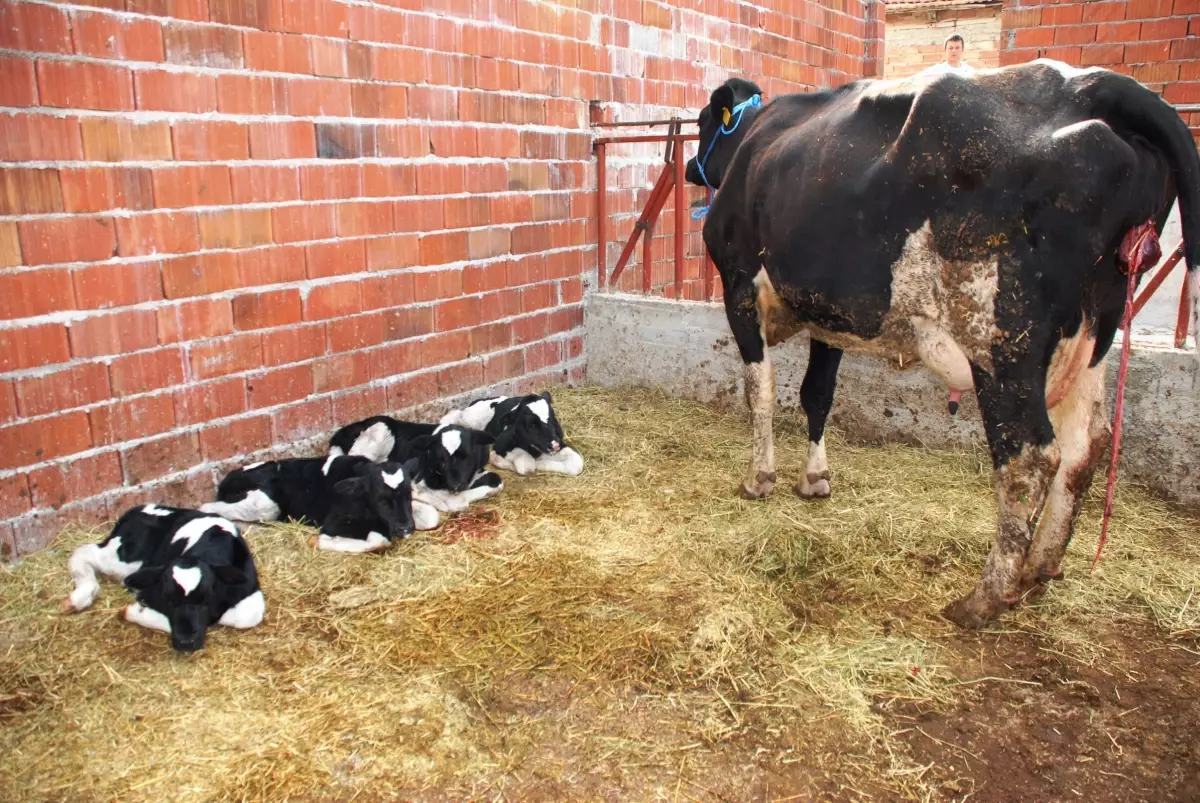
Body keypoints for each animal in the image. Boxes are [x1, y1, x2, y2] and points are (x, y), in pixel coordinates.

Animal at [61, 504, 265, 652]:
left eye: (206, 598)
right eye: (169, 600)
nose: (186, 642)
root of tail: (137, 509)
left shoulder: (250, 588)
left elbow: (246, 616)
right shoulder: (149, 590)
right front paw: (135, 611)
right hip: (125, 559)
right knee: (83, 552)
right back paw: (79, 597)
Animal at [199, 453, 434, 554]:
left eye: (408, 494)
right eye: (379, 498)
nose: (405, 527)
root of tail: (228, 477)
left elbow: (431, 515)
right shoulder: (332, 523)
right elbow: (378, 541)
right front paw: (318, 541)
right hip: (264, 505)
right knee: (207, 508)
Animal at [326, 417, 504, 511]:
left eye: (467, 456)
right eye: (441, 460)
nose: (455, 485)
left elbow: (497, 481)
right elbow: (454, 502)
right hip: (377, 433)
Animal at [439, 393, 583, 475]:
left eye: (552, 418)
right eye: (532, 425)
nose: (554, 445)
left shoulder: (561, 443)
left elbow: (577, 464)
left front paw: (543, 463)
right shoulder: (501, 445)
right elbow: (526, 464)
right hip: (470, 419)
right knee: (457, 414)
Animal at [686, 62, 1200, 624]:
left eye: (702, 124)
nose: (689, 167)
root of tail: (1090, 84)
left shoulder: (739, 286)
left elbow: (760, 391)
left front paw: (760, 479)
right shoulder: (832, 317)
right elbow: (817, 396)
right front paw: (815, 479)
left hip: (1002, 341)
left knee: (1031, 458)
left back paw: (985, 597)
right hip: (1094, 336)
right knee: (1087, 445)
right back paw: (1040, 569)